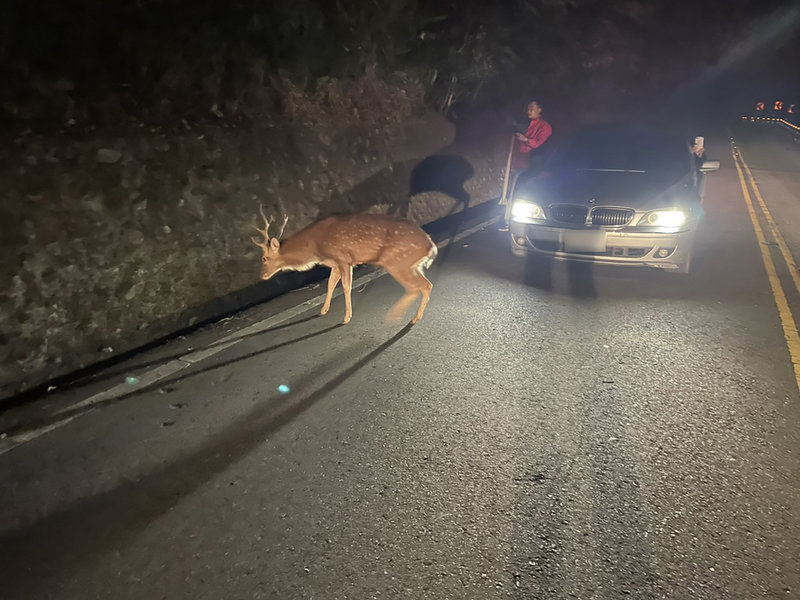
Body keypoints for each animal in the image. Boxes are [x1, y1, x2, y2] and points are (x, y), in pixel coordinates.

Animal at [251, 205, 438, 324]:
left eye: (264, 258)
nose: (262, 275)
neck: (315, 247)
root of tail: (431, 246)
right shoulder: (334, 263)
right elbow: (330, 284)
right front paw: (323, 311)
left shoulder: (343, 258)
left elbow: (346, 286)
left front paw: (346, 317)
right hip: (411, 265)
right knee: (427, 285)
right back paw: (414, 317)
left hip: (396, 262)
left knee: (417, 287)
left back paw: (396, 316)